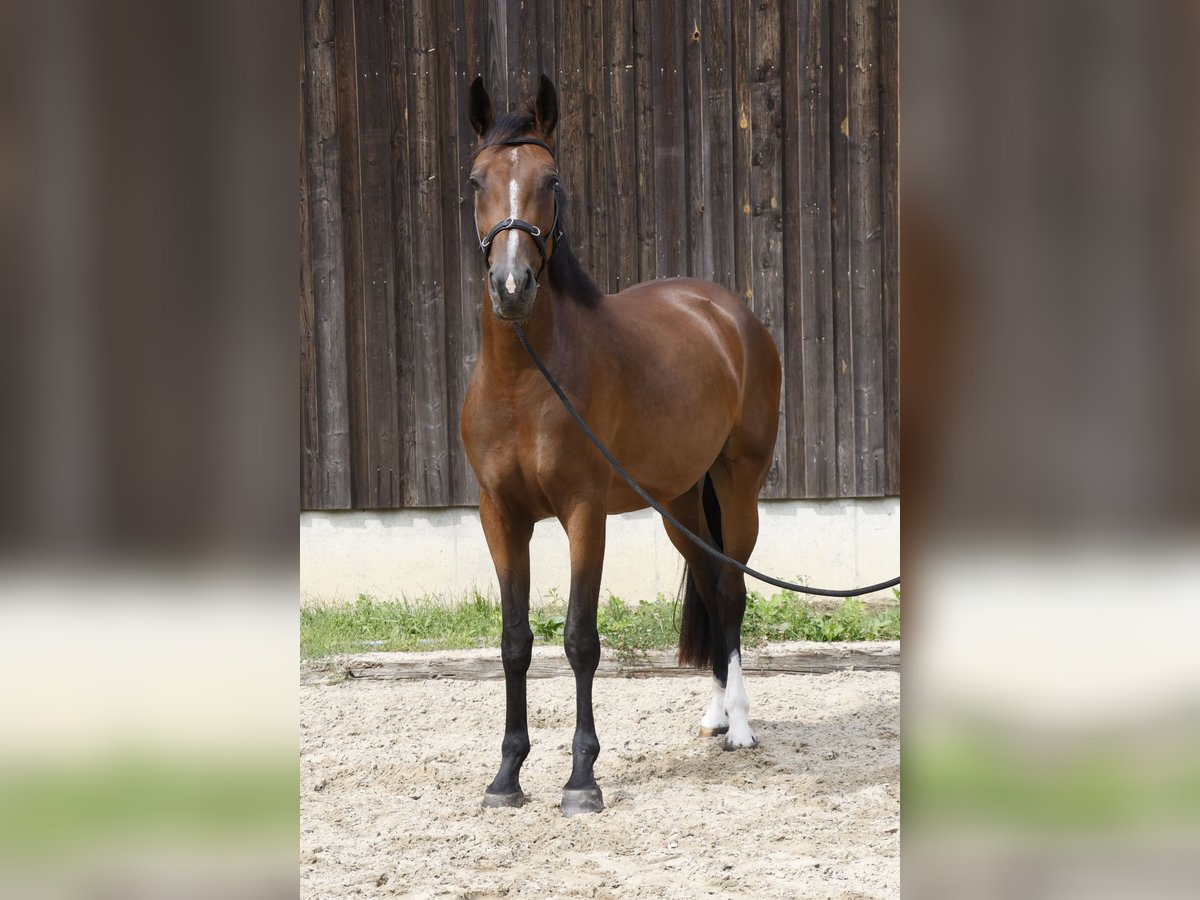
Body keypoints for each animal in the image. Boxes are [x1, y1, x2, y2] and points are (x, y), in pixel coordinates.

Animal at [456, 72, 777, 816]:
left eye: (550, 180)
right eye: (476, 180)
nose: (511, 287)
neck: (523, 379)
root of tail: (726, 313)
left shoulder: (583, 514)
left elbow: (580, 639)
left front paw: (581, 779)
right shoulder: (499, 516)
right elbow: (514, 641)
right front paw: (506, 776)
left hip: (738, 489)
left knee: (731, 588)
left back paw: (741, 726)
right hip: (680, 504)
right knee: (710, 585)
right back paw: (714, 716)